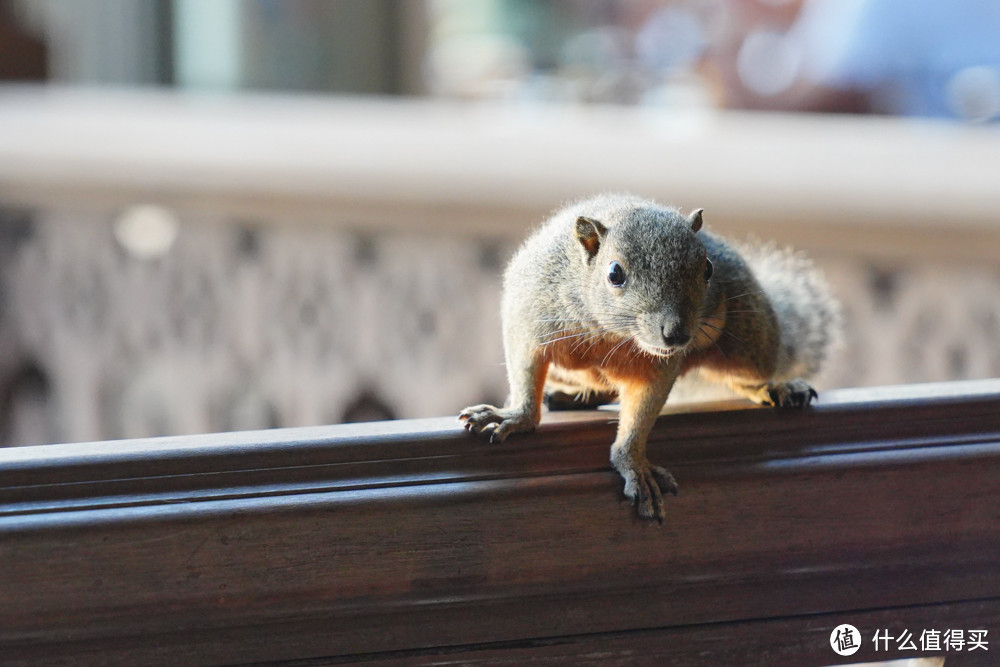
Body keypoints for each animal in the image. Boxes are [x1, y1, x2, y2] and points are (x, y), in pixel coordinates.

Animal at [462, 193, 844, 520]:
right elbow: (525, 373)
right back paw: (574, 396)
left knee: (746, 375)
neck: (613, 334)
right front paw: (514, 415)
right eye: (614, 273)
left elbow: (641, 414)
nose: (677, 334)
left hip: (750, 343)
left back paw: (776, 387)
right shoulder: (530, 319)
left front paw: (633, 465)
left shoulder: (660, 367)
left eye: (707, 268)